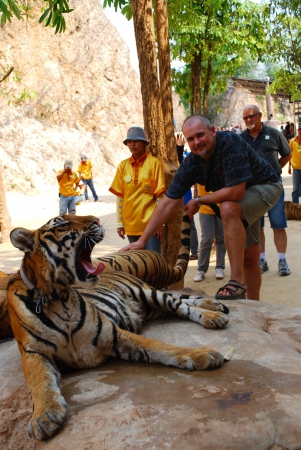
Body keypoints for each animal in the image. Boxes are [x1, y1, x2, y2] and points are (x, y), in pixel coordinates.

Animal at [6, 214, 227, 440]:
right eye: (61, 223)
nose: (97, 220)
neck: (59, 299)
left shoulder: (115, 334)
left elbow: (161, 346)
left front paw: (203, 355)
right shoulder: (34, 353)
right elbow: (38, 380)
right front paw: (43, 416)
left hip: (148, 293)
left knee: (181, 304)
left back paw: (214, 315)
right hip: (153, 308)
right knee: (180, 301)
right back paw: (216, 306)